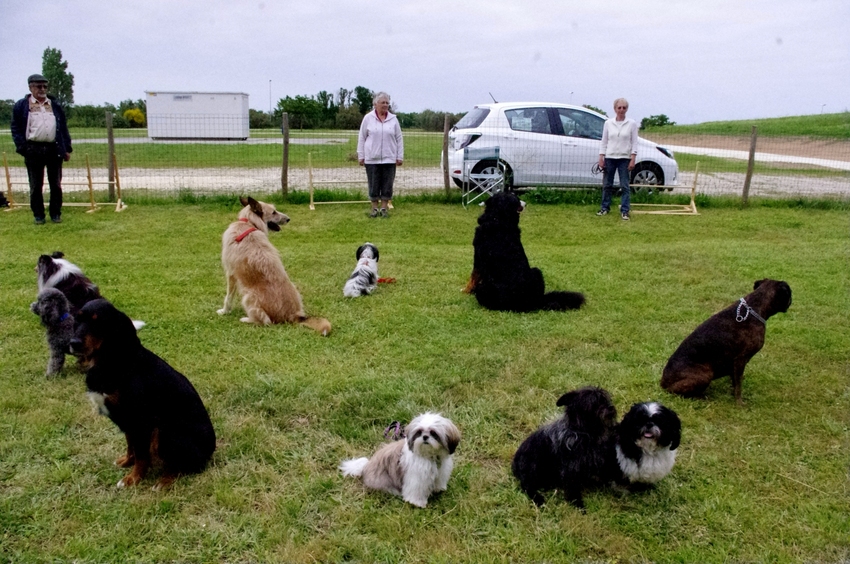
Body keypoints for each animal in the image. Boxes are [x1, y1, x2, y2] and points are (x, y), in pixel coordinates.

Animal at [70, 300, 215, 490]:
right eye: (77, 319)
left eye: (98, 321)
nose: (73, 343)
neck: (112, 361)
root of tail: (211, 450)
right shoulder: (128, 421)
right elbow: (130, 444)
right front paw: (126, 462)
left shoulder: (140, 420)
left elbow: (141, 455)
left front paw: (132, 479)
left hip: (166, 432)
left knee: (187, 466)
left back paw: (164, 481)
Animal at [217, 197, 330, 334]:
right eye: (274, 212)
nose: (288, 219)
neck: (249, 223)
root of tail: (294, 315)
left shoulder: (231, 274)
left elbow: (228, 297)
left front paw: (224, 311)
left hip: (248, 296)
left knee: (265, 321)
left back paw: (246, 319)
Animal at [660, 278, 792, 406]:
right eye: (789, 293)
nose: (792, 299)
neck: (754, 307)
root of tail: (663, 383)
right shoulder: (740, 360)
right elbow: (738, 385)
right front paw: (739, 403)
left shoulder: (735, 365)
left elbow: (735, 381)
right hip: (706, 374)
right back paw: (700, 398)